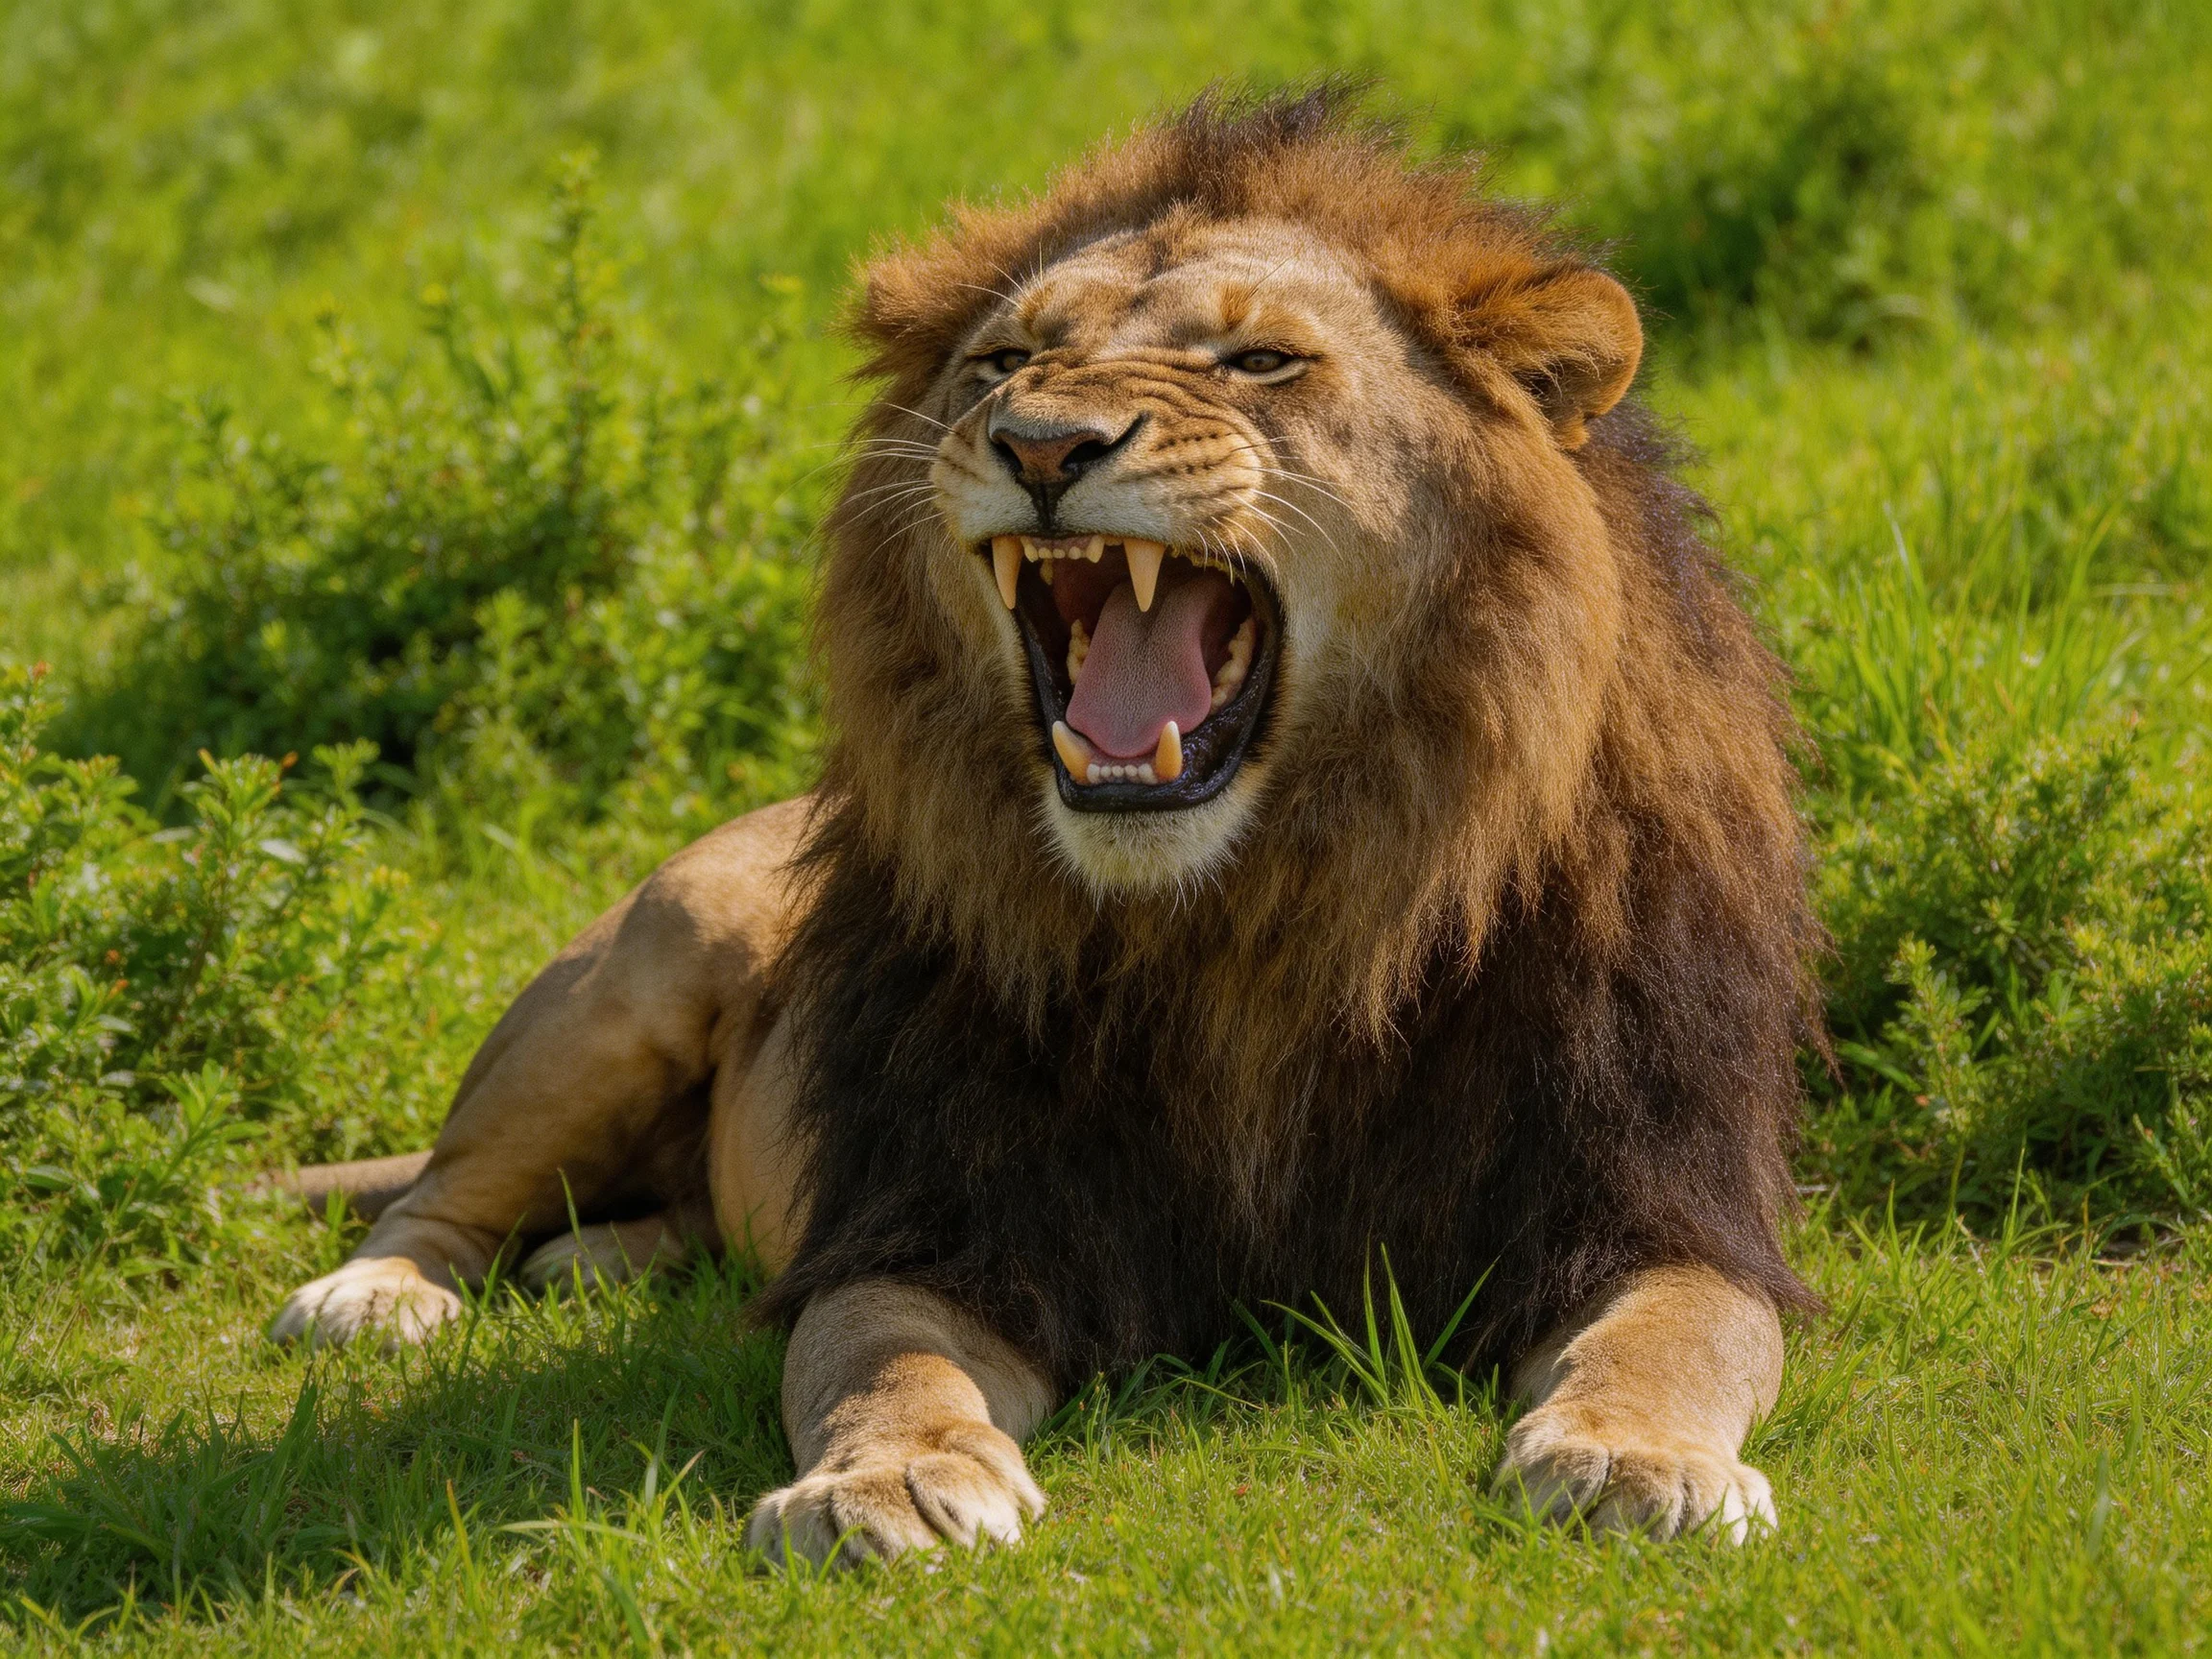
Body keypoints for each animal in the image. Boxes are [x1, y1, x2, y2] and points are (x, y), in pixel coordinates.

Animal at [269, 89, 1821, 1564]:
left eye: (1261, 363)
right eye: (1004, 363)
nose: (1041, 443)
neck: (1253, 930)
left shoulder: (1655, 1198)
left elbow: (1675, 1339)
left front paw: (1633, 1461)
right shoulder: (939, 1220)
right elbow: (879, 1363)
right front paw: (886, 1483)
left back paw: (599, 1264)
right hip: (627, 983)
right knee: (443, 1192)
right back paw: (374, 1296)